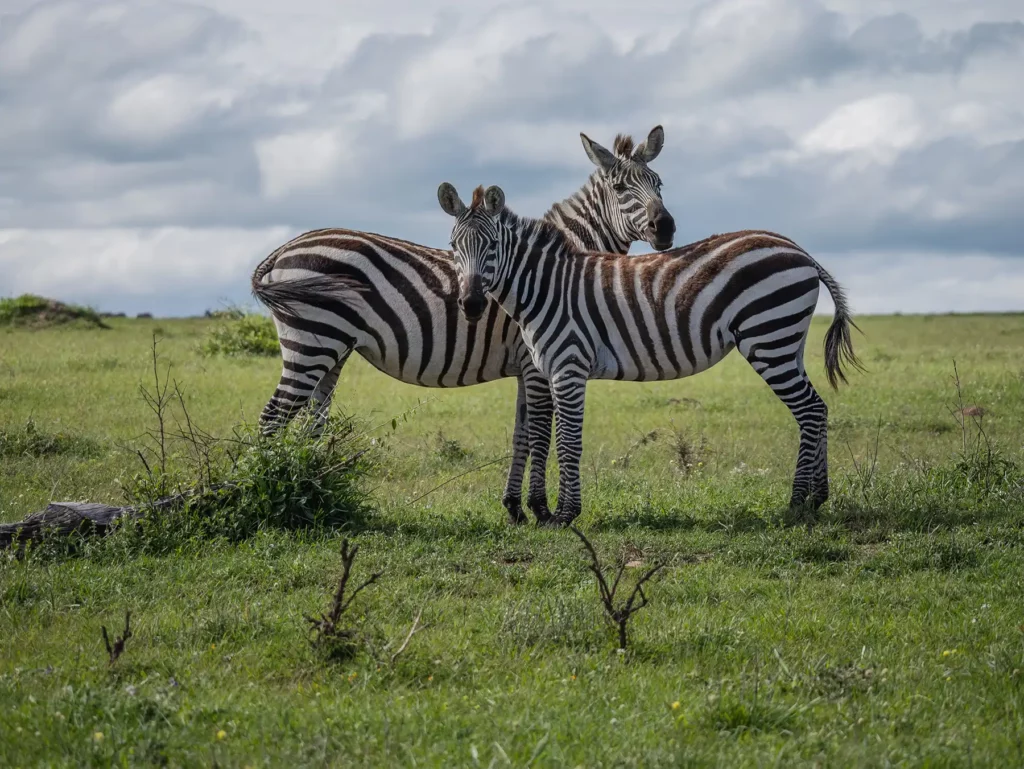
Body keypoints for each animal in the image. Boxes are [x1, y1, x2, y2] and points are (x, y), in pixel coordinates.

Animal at [251, 127, 676, 526]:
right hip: (311, 343)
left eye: (659, 183)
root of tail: (281, 251)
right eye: (620, 188)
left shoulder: (526, 365)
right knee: (273, 418)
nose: (666, 228)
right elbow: (540, 432)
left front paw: (514, 508)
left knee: (311, 424)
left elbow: (522, 432)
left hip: (332, 351)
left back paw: (315, 490)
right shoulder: (538, 362)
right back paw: (268, 489)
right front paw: (539, 509)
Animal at [437, 183, 862, 526]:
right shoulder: (551, 369)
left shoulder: (569, 366)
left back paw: (797, 503)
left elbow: (567, 441)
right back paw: (817, 499)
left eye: (492, 246)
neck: (544, 289)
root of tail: (798, 249)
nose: (471, 305)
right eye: (453, 246)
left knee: (808, 410)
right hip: (788, 341)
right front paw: (556, 511)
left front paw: (565, 514)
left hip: (769, 337)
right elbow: (549, 436)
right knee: (818, 408)